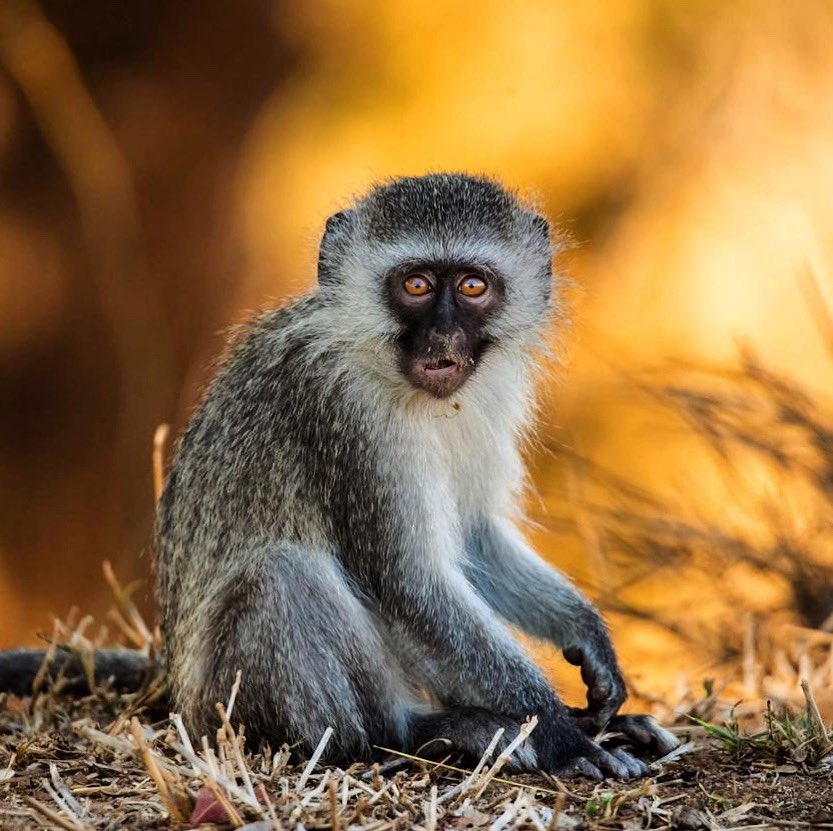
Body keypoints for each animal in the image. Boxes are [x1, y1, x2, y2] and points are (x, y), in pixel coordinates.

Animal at [0, 174, 676, 780]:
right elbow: (409, 582)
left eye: (474, 286)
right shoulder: (348, 414)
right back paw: (415, 734)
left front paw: (587, 638)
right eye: (416, 285)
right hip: (227, 703)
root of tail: (176, 684)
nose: (443, 337)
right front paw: (562, 736)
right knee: (283, 577)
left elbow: (471, 538)